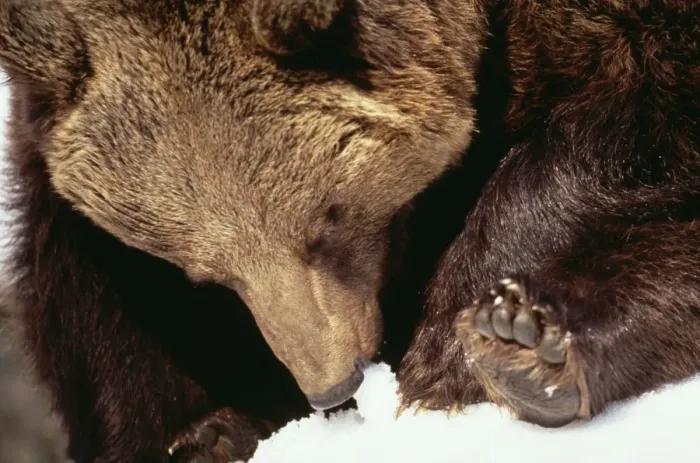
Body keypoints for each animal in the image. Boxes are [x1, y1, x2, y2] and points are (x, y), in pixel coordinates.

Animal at [1, 0, 700, 462]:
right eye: (205, 272)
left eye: (326, 222)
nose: (331, 385)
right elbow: (96, 301)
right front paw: (193, 430)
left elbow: (638, 107)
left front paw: (445, 354)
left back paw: (529, 350)